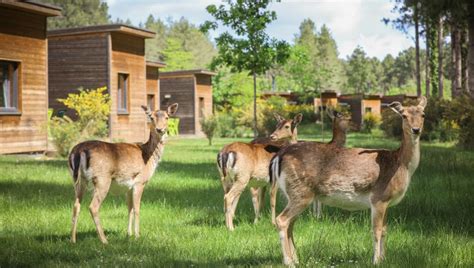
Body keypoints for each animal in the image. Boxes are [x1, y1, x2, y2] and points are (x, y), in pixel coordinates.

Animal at [66, 102, 178, 243]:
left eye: (167, 117)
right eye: (151, 117)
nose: (160, 129)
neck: (148, 156)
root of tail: (78, 151)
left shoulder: (129, 186)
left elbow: (129, 208)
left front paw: (128, 234)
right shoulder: (140, 181)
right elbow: (137, 208)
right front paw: (137, 236)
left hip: (78, 179)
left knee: (76, 205)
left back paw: (73, 240)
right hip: (102, 179)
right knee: (93, 207)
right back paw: (104, 240)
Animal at [272, 97, 428, 264]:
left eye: (423, 114)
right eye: (404, 115)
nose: (416, 129)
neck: (401, 165)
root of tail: (278, 156)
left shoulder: (387, 202)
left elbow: (385, 230)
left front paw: (384, 259)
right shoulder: (379, 197)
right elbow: (376, 231)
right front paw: (375, 261)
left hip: (292, 194)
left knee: (290, 223)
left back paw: (296, 259)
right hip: (300, 192)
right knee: (281, 220)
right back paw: (289, 262)